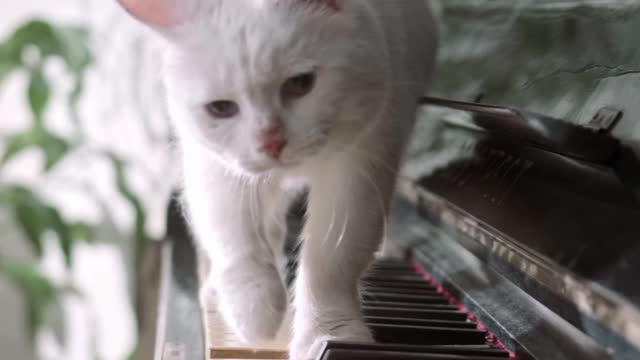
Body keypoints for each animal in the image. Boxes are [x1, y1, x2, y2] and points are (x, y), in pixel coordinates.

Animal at [117, 0, 438, 358]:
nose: (271, 142)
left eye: (301, 83)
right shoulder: (216, 168)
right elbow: (236, 239)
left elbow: (331, 263)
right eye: (221, 108)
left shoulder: (362, 165)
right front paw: (255, 315)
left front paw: (330, 334)